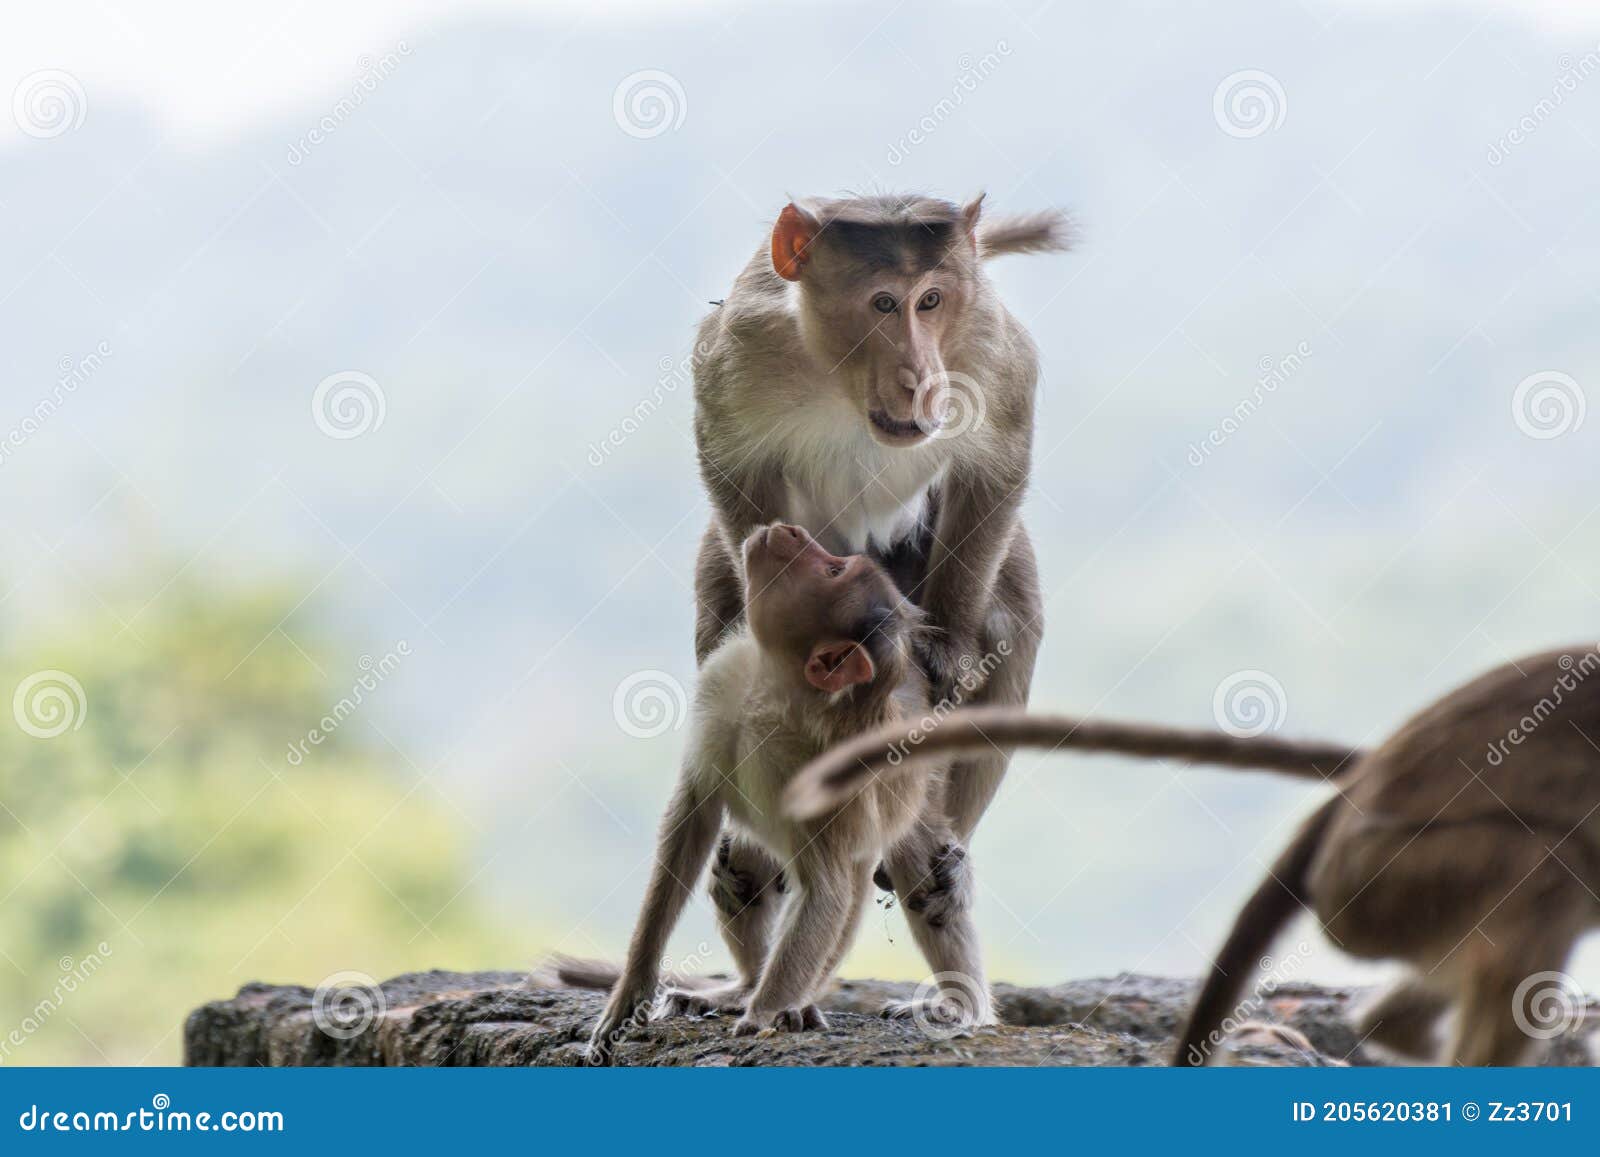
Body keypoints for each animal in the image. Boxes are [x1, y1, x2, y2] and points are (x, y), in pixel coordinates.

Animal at [592, 521, 953, 1062]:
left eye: (833, 570)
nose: (792, 531)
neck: (776, 686)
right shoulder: (723, 690)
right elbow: (693, 817)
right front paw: (631, 989)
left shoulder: (826, 771)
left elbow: (825, 891)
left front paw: (763, 1016)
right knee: (741, 868)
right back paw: (743, 987)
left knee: (874, 880)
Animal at [688, 194, 1062, 1024]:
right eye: (884, 303)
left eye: (932, 301)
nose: (920, 375)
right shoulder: (742, 349)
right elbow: (730, 462)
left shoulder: (981, 343)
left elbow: (1000, 451)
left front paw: (949, 647)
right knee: (716, 601)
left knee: (1010, 621)